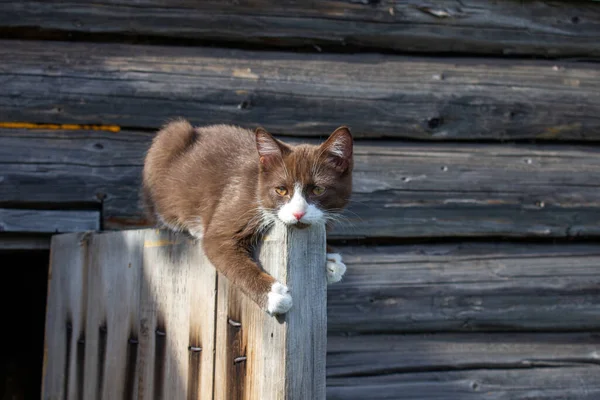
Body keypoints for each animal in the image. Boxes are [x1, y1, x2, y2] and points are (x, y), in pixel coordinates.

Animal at [141, 120, 352, 314]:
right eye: (281, 190)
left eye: (318, 189)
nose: (298, 213)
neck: (257, 185)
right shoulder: (238, 201)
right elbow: (219, 244)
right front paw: (273, 294)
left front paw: (331, 259)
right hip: (169, 141)